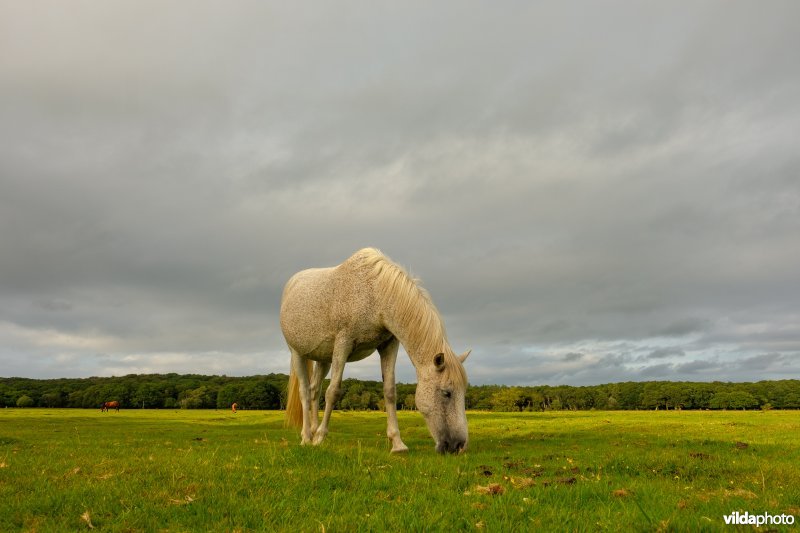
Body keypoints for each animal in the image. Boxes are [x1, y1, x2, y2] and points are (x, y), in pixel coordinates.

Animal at [282, 246, 468, 454]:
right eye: (446, 393)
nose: (458, 445)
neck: (375, 293)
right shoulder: (343, 344)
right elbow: (333, 391)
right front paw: (321, 437)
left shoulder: (389, 345)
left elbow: (389, 391)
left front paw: (397, 443)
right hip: (297, 354)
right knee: (305, 393)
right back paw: (307, 437)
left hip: (323, 359)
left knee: (314, 390)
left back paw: (313, 431)